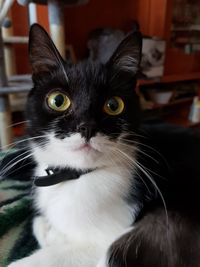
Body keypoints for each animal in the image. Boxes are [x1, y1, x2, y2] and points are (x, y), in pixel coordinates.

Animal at [5, 23, 200, 267]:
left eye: (114, 105)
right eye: (58, 100)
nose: (87, 127)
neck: (77, 178)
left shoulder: (104, 237)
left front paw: (51, 234)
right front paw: (49, 228)